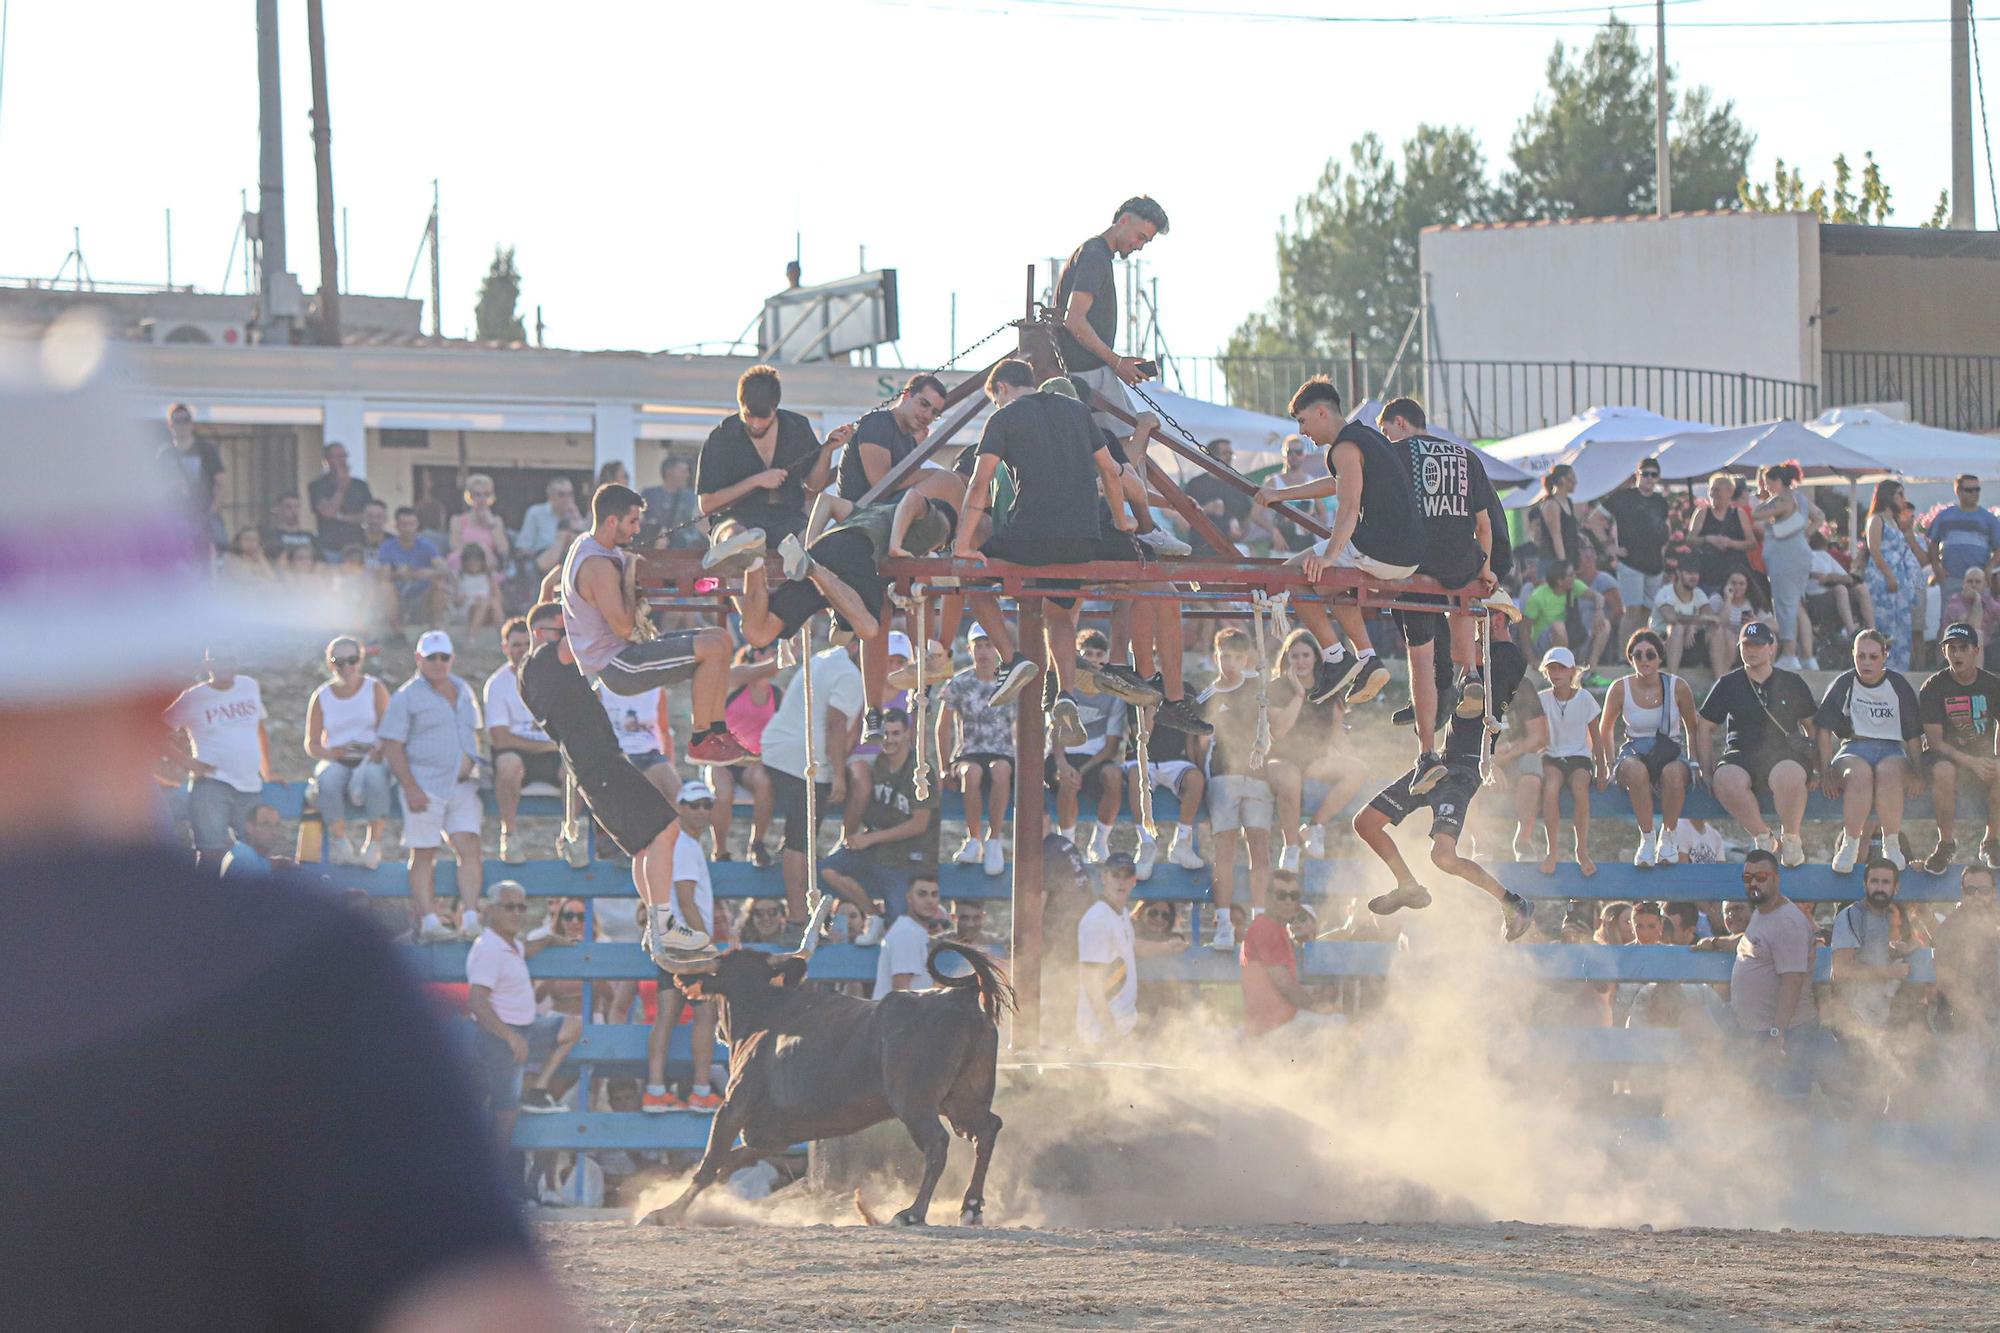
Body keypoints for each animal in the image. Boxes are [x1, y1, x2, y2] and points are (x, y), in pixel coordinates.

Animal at [652, 932, 1008, 1216]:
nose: (718, 1034)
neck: (762, 1011)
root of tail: (961, 997)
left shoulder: (732, 1107)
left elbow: (711, 1161)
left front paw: (664, 1213)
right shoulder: (770, 1136)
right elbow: (729, 1161)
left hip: (915, 1103)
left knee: (937, 1143)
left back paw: (912, 1213)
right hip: (962, 1100)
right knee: (986, 1130)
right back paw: (971, 1206)